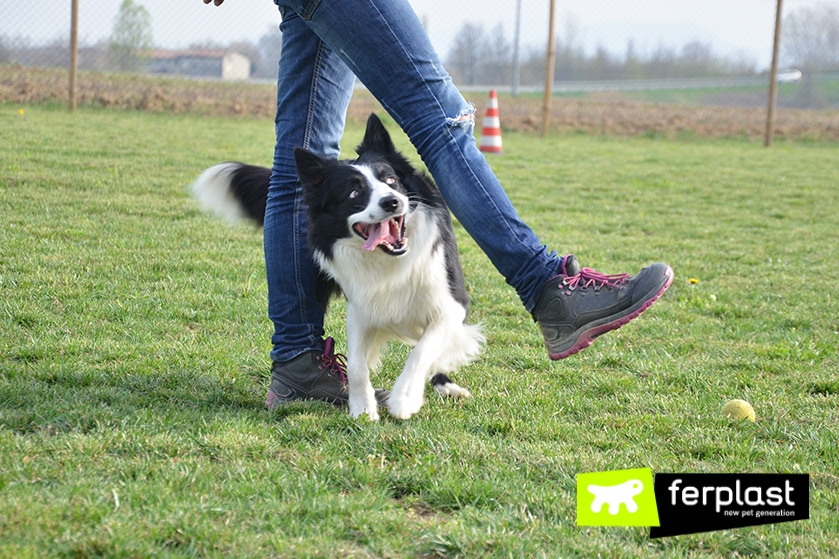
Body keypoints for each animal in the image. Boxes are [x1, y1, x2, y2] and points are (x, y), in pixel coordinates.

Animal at [189, 115, 480, 420]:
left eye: (391, 180)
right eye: (354, 192)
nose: (392, 201)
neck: (388, 260)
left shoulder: (451, 304)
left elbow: (422, 351)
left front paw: (404, 399)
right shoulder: (360, 307)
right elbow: (355, 365)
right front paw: (362, 407)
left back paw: (445, 386)